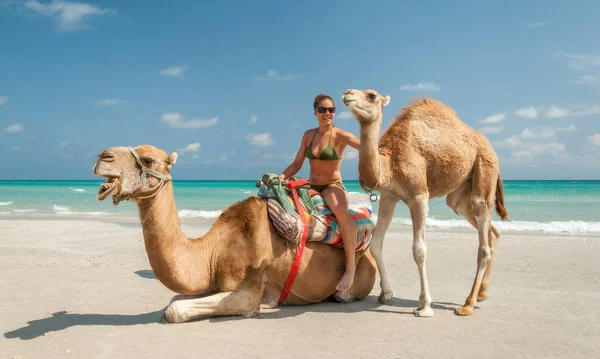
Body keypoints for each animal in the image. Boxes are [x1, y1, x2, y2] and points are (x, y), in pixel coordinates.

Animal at [92, 145, 376, 322]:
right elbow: (175, 298)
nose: (103, 157)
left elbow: (175, 309)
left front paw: (265, 306)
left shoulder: (246, 291)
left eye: (148, 160)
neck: (214, 251)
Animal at [342, 88, 506, 318]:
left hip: (484, 166)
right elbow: (375, 243)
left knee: (483, 238)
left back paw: (468, 304)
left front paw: (425, 306)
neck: (389, 163)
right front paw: (386, 293)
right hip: (459, 194)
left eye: (372, 95)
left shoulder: (419, 195)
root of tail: (490, 145)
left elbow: (419, 250)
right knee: (489, 231)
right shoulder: (389, 197)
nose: (347, 94)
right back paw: (482, 293)